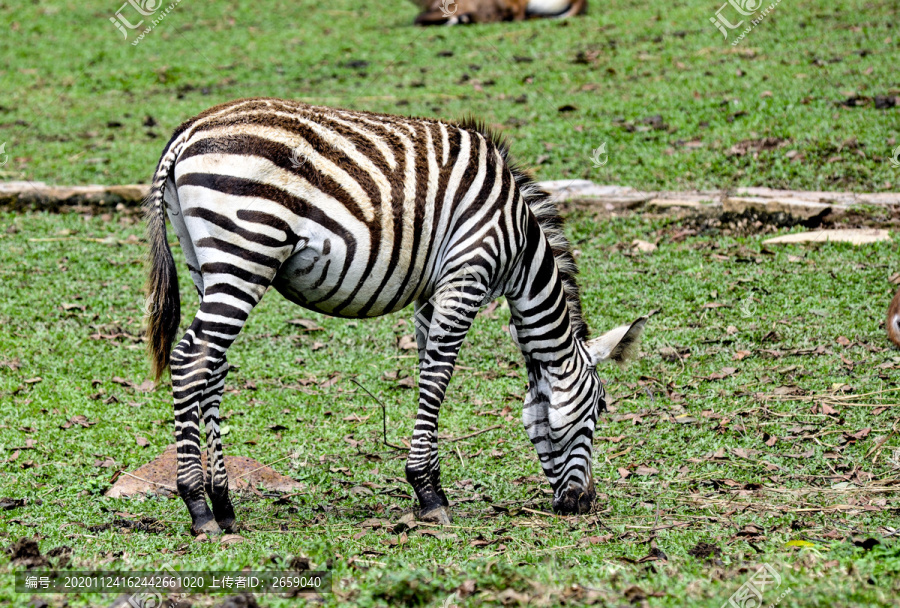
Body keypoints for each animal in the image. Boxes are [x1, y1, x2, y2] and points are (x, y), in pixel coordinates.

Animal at [142, 97, 648, 536]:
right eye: (599, 410)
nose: (585, 504)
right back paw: (199, 509)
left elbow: (427, 370)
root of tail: (189, 130)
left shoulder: (431, 293)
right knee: (191, 361)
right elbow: (439, 377)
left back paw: (224, 504)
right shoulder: (467, 275)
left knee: (213, 368)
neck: (521, 247)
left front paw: (426, 489)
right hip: (245, 252)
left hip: (205, 260)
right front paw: (431, 496)